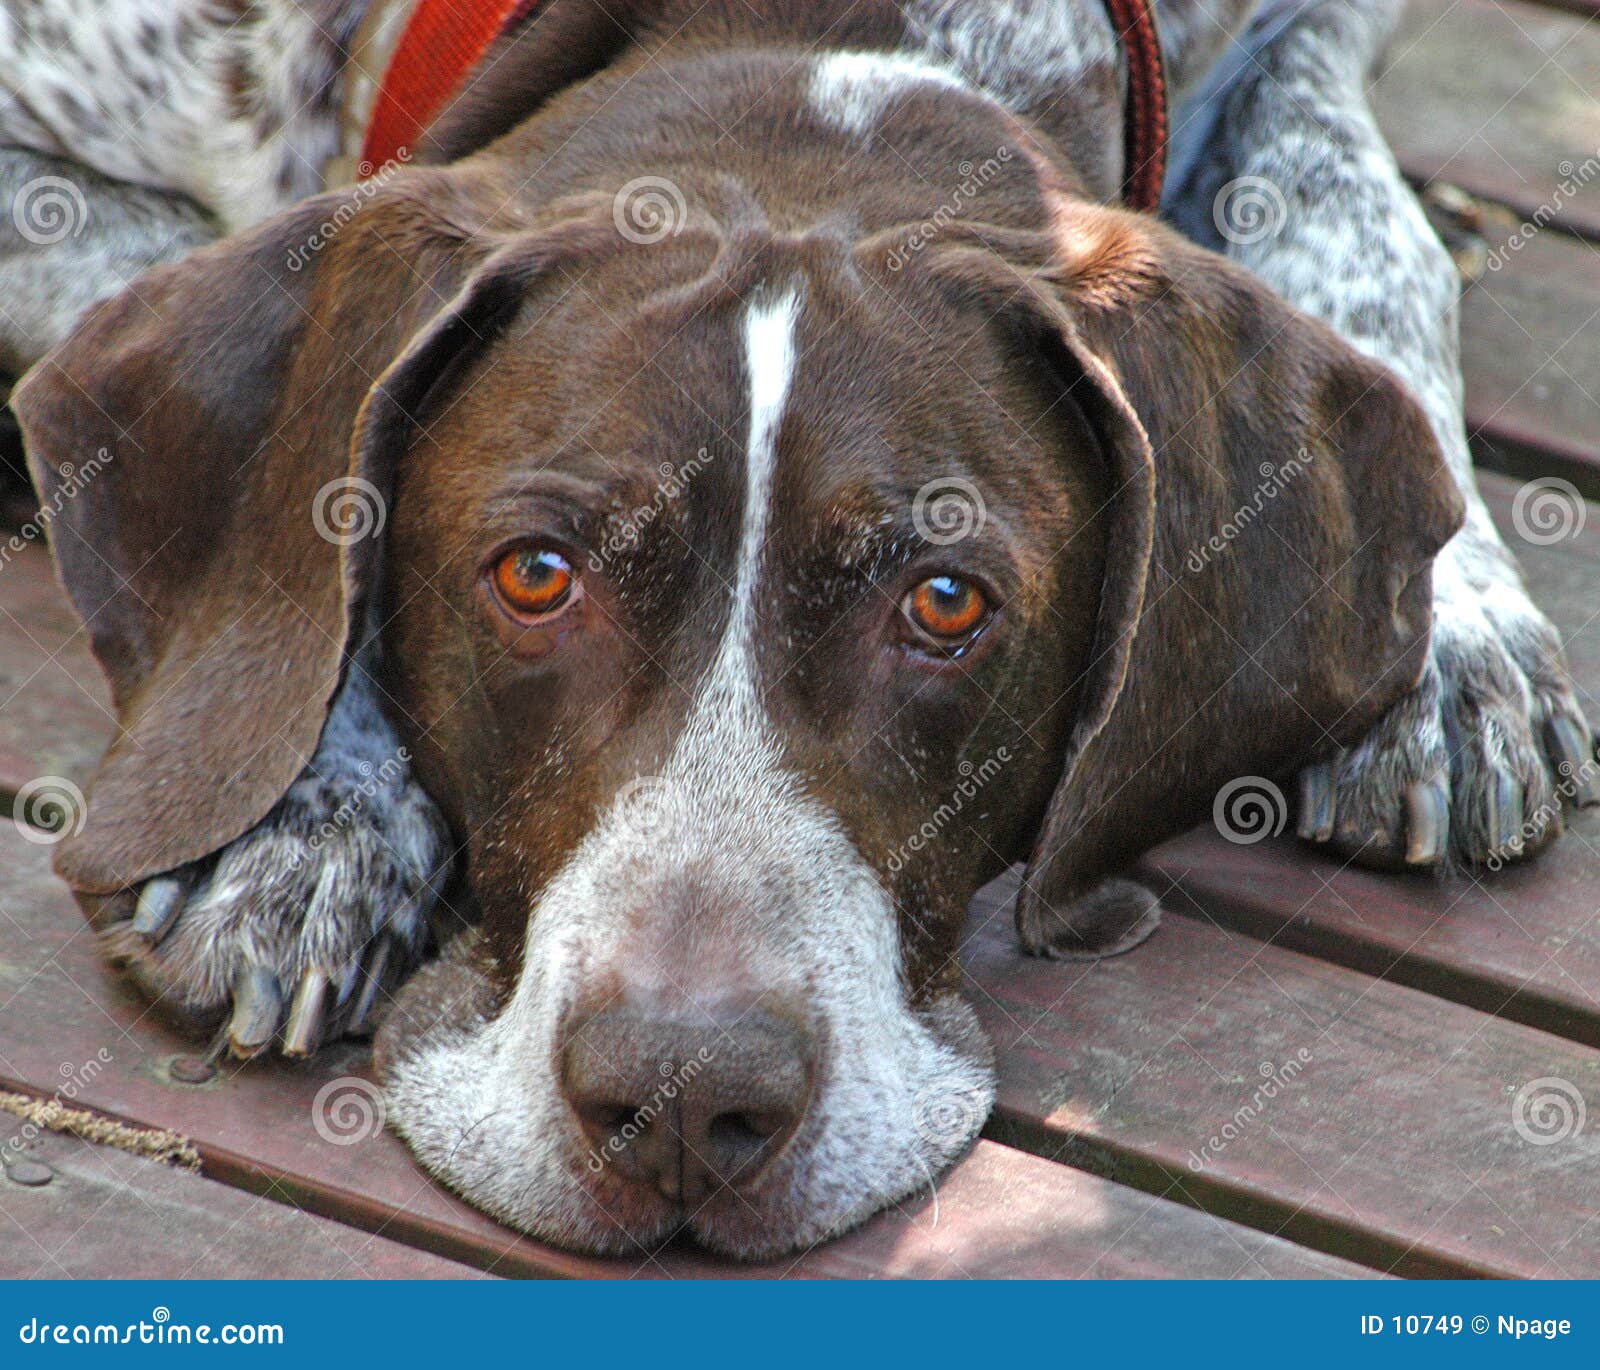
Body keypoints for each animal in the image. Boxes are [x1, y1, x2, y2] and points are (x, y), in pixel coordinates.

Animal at [6, 0, 1593, 1254]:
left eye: (944, 602)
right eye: (535, 574)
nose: (684, 1099)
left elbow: (1356, 208)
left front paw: (1461, 628)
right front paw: (306, 810)